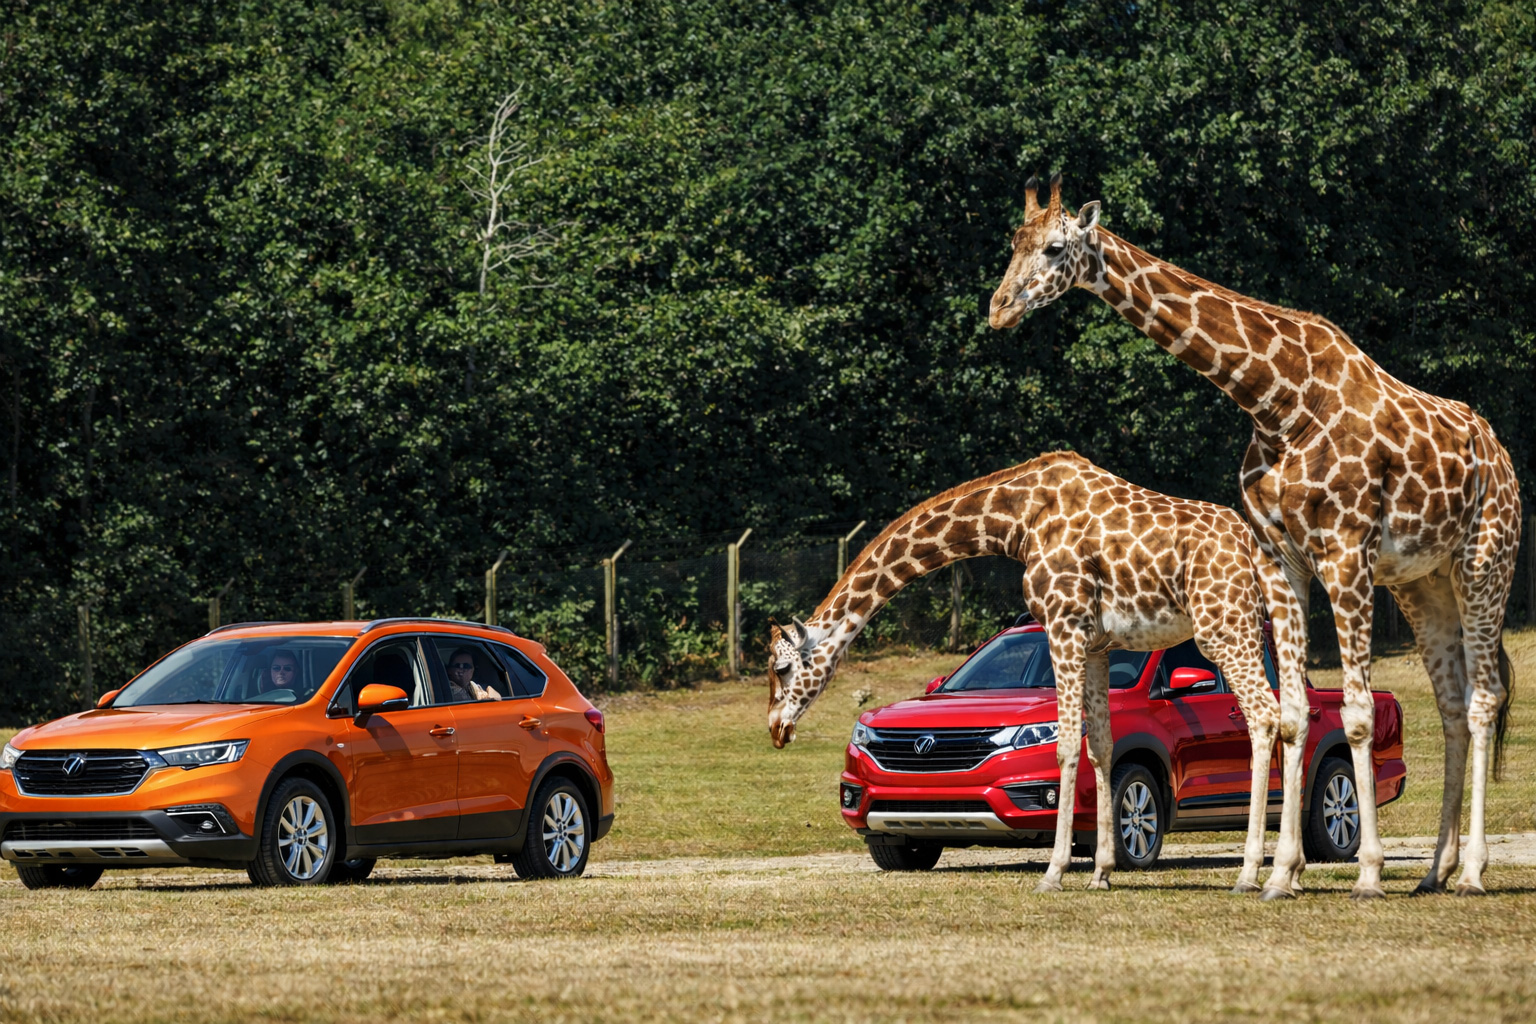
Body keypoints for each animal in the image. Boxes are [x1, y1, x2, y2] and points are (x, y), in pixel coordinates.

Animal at [766, 451, 1289, 893]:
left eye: (782, 667)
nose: (775, 728)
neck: (1018, 519)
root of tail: (1254, 548)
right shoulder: (1097, 644)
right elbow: (1100, 747)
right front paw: (1100, 873)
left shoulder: (1064, 625)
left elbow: (1065, 747)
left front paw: (1054, 873)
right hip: (1268, 618)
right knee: (1293, 716)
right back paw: (1289, 872)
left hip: (1221, 624)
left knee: (1265, 716)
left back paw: (1252, 874)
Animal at [988, 173, 1522, 898]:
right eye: (1012, 243)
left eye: (1053, 247)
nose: (998, 309)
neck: (1278, 399)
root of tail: (1502, 456)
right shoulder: (1281, 558)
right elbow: (1293, 713)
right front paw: (1279, 875)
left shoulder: (1345, 550)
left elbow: (1354, 714)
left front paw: (1367, 873)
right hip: (1422, 584)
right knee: (1450, 702)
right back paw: (1434, 872)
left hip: (1484, 560)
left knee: (1483, 699)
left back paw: (1468, 872)